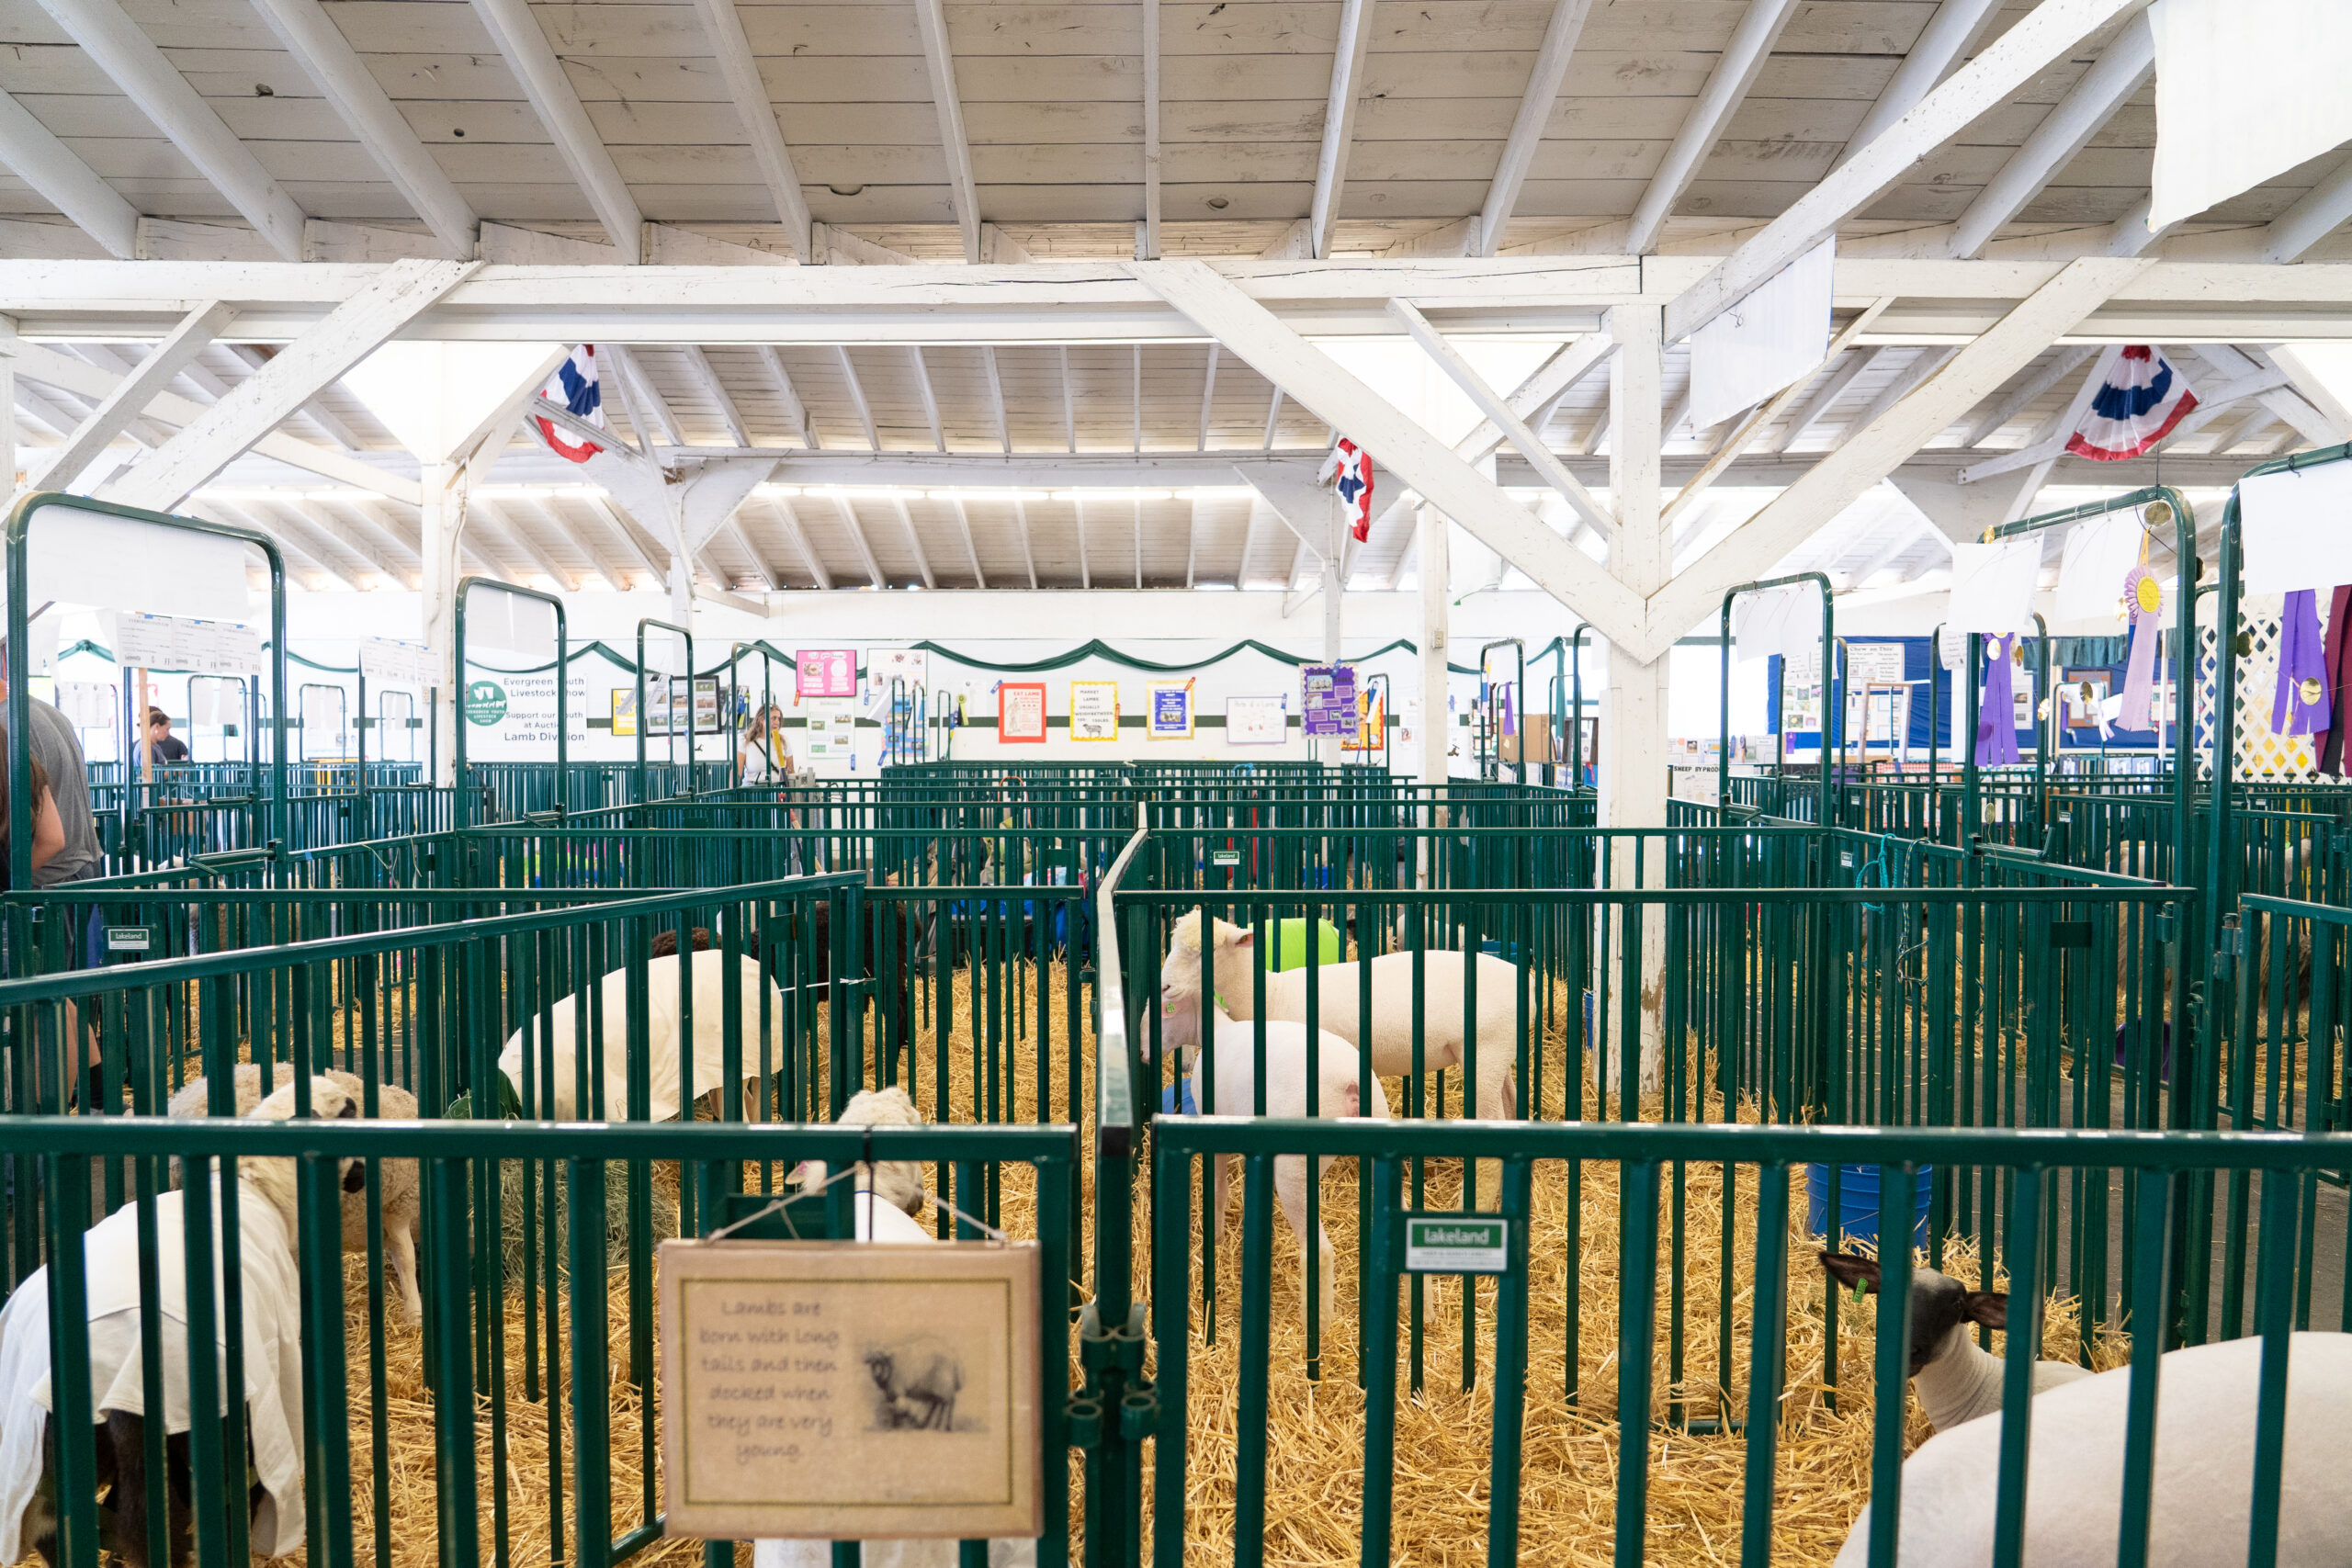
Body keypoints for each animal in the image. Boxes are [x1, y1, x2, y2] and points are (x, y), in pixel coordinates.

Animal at [1164, 975, 1392, 1328]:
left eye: (1166, 1007)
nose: (1144, 1052)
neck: (1218, 1029)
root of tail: (1350, 1084)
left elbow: (1218, 1188)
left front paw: (1215, 1238)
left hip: (1297, 1168)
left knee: (1319, 1249)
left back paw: (1318, 1324)